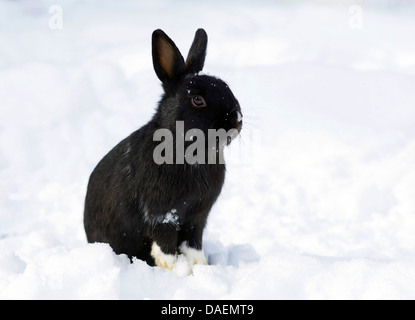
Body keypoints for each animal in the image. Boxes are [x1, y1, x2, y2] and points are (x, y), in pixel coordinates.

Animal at [83, 29, 242, 270]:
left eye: (227, 87)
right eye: (198, 100)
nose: (237, 120)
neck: (193, 153)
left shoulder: (196, 218)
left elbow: (193, 246)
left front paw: (200, 268)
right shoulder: (161, 215)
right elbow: (165, 248)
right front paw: (176, 271)